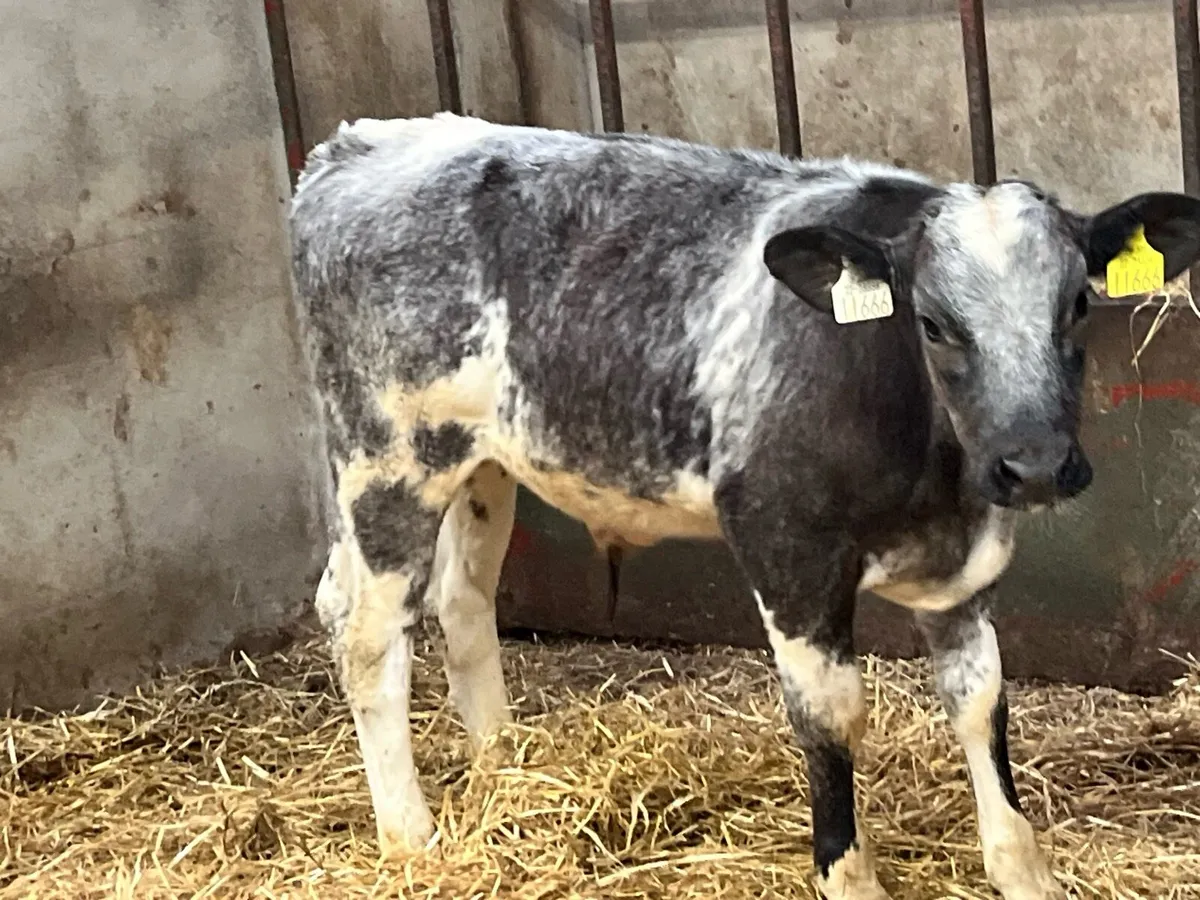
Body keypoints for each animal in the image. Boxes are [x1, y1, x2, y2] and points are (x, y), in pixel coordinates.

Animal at [289, 113, 1200, 900]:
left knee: (459, 600)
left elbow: (980, 703)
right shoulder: (784, 541)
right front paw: (848, 877)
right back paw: (413, 841)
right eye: (934, 323)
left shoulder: (967, 562)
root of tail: (357, 145)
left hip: (482, 462)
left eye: (1077, 306)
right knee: (368, 633)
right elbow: (833, 716)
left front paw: (1022, 871)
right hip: (388, 456)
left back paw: (504, 766)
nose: (1035, 466)